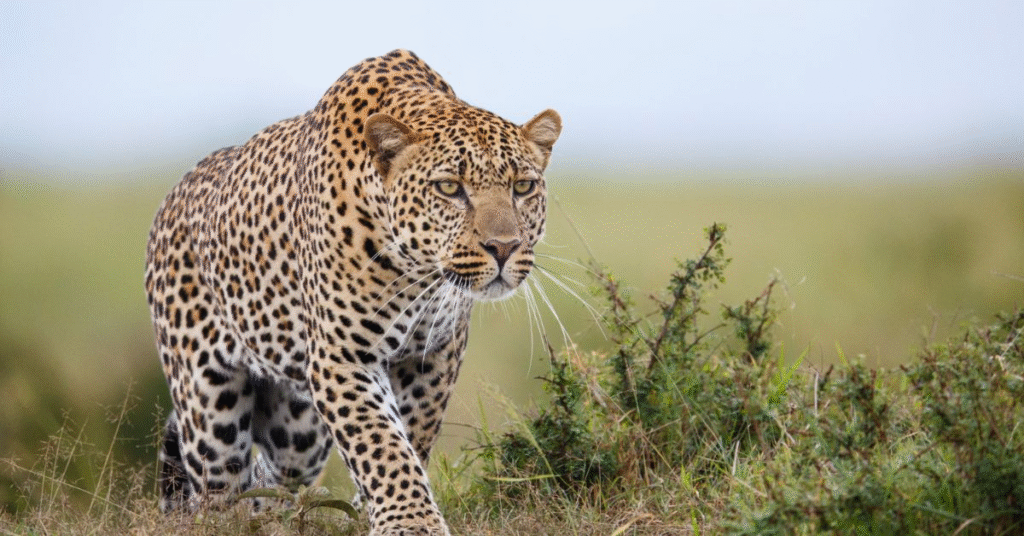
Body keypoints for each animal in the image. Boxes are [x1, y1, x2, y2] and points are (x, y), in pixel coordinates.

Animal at [144, 49, 561, 536]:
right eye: (449, 188)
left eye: (523, 187)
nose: (504, 247)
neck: (418, 272)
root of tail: (172, 195)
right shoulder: (343, 357)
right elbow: (380, 441)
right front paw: (411, 521)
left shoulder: (434, 355)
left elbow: (410, 435)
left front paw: (372, 511)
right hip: (209, 412)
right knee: (218, 494)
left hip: (297, 430)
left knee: (273, 480)